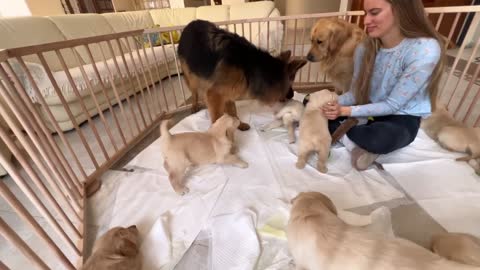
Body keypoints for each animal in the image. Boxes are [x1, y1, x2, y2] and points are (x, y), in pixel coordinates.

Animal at [178, 19, 306, 131]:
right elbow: (217, 116)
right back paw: (194, 105)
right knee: (194, 92)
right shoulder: (214, 93)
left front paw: (238, 124)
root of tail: (190, 24)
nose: (292, 95)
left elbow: (233, 112)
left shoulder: (229, 93)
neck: (250, 68)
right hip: (192, 78)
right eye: (290, 83)